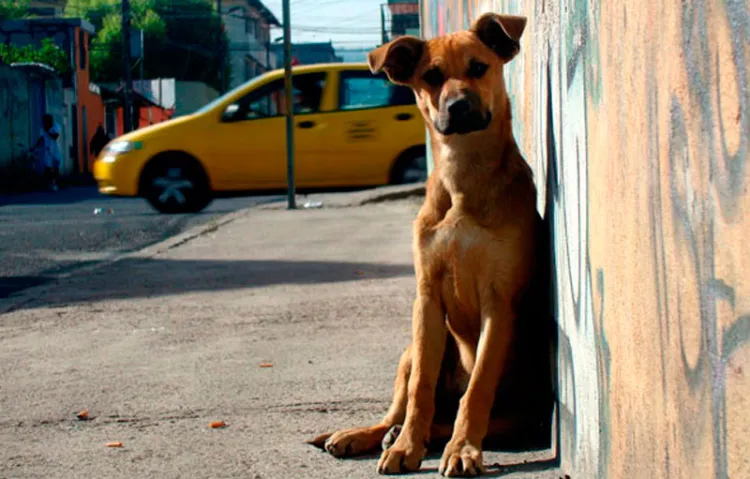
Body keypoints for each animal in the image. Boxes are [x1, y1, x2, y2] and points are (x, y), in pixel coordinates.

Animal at [308, 13, 556, 478]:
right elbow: (421, 387)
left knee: (474, 412)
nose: (457, 106)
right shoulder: (426, 301)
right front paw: (407, 446)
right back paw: (368, 435)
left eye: (479, 67)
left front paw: (462, 450)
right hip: (408, 347)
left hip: (523, 405)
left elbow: (476, 390)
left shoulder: (500, 303)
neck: (462, 178)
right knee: (400, 406)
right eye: (432, 76)